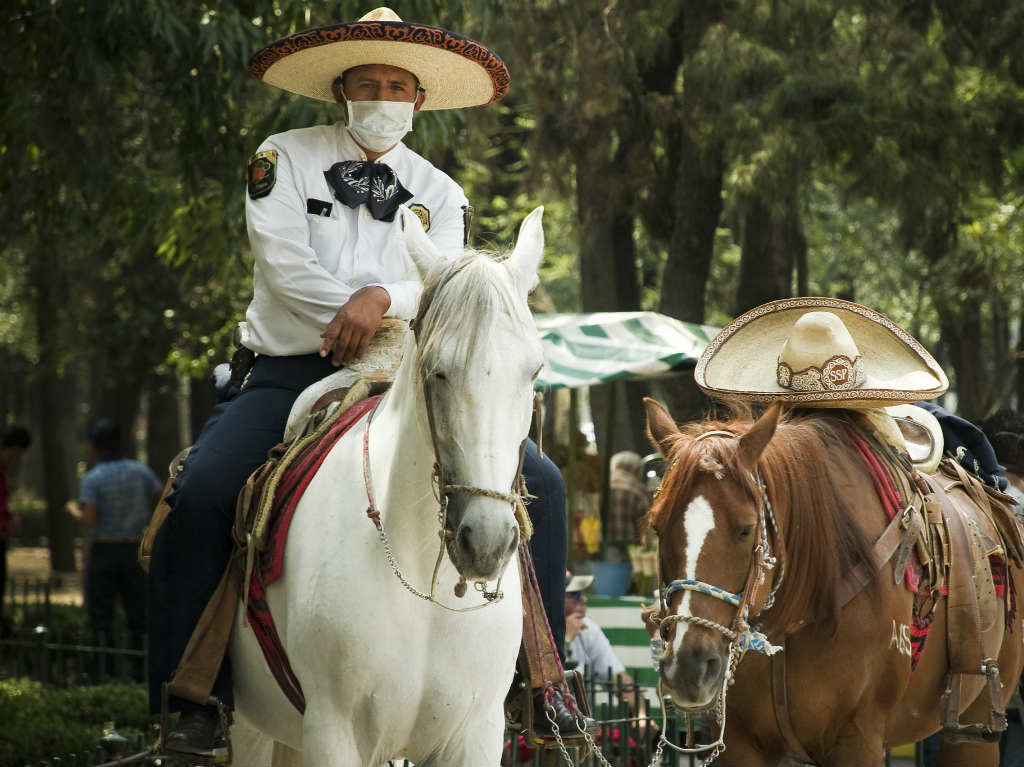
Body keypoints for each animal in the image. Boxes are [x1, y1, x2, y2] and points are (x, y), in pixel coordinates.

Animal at [226, 204, 544, 765]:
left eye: (533, 373)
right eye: (437, 372)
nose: (486, 542)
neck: (422, 586)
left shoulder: (474, 735)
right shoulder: (333, 734)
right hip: (250, 728)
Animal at [643, 397, 1019, 761]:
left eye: (746, 529)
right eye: (657, 527)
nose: (689, 667)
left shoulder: (858, 737)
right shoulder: (741, 740)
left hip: (975, 725)